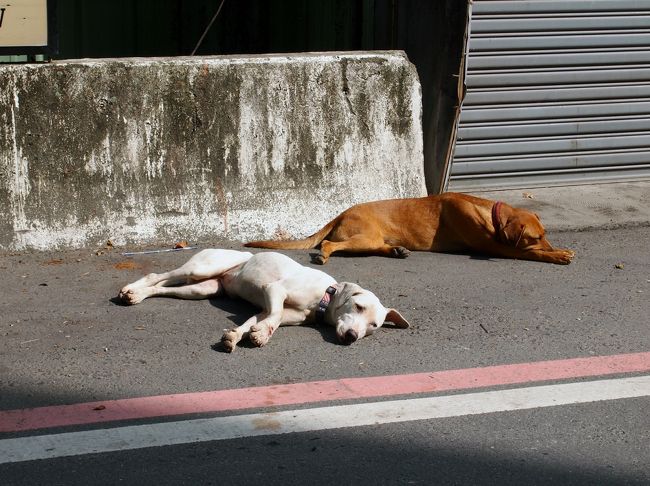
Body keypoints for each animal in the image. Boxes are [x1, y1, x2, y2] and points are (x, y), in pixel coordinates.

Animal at [119, 249, 408, 352]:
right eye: (358, 307)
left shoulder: (265, 309)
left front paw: (240, 335)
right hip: (201, 268)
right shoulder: (274, 291)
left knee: (162, 288)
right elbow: (276, 314)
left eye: (373, 327)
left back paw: (139, 294)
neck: (325, 297)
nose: (350, 337)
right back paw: (131, 289)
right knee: (158, 275)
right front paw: (261, 334)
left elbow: (257, 320)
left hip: (202, 289)